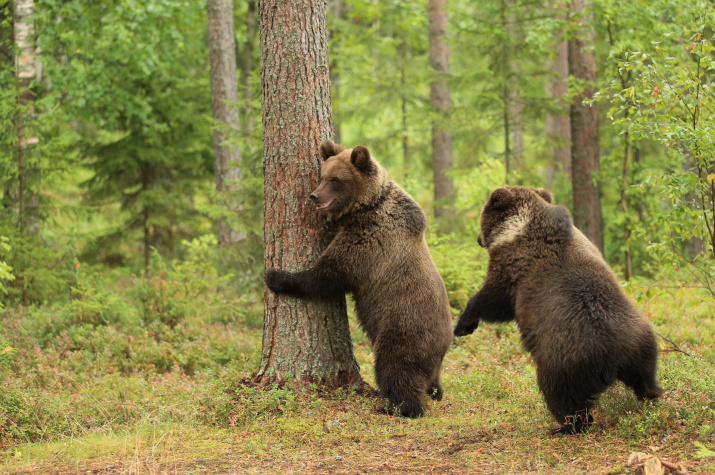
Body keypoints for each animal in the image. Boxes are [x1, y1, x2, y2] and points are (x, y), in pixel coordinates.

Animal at [262, 139, 454, 418]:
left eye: (335, 180)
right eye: (321, 176)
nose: (314, 195)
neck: (367, 206)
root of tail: (445, 343)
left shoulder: (368, 242)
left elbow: (328, 275)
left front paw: (275, 276)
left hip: (404, 329)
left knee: (396, 368)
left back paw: (397, 407)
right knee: (430, 381)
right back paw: (434, 392)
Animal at [456, 186, 664, 436]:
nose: (478, 239)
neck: (519, 227)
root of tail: (613, 359)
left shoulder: (512, 267)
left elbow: (493, 299)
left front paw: (464, 324)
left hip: (562, 360)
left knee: (561, 396)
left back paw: (566, 426)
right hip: (640, 338)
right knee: (645, 374)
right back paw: (653, 393)